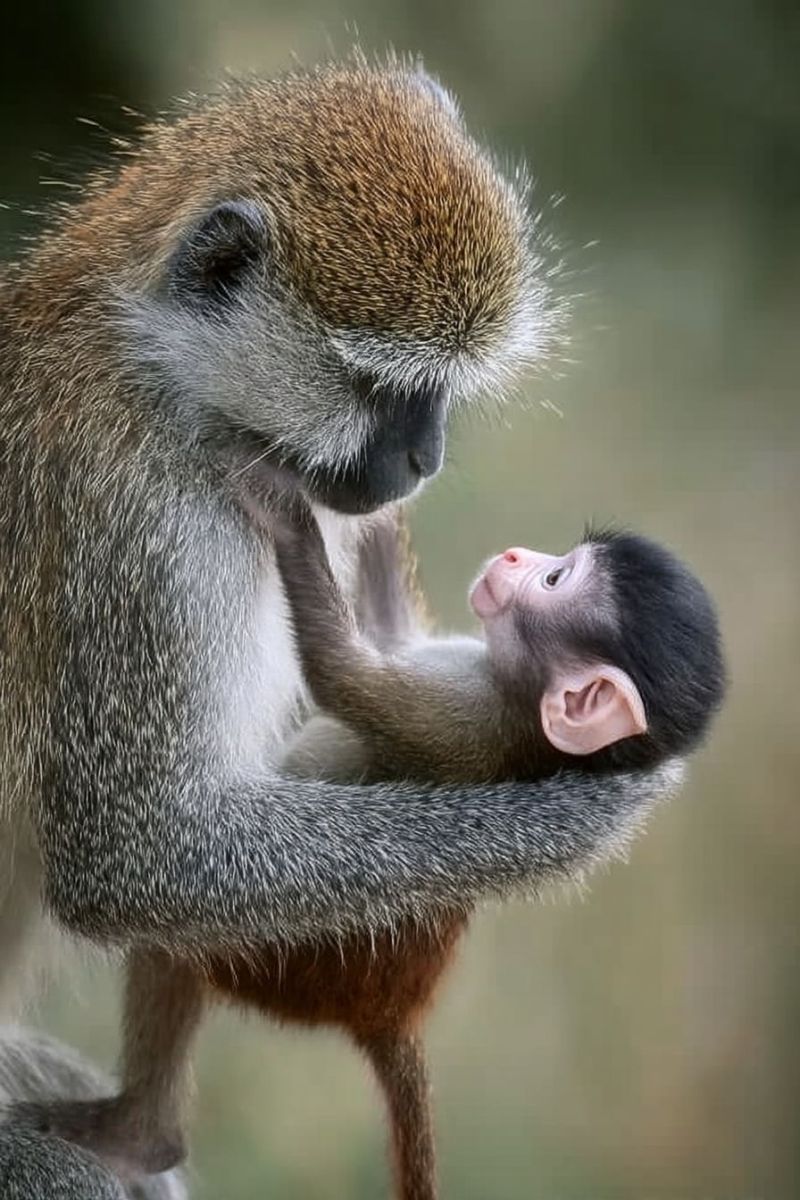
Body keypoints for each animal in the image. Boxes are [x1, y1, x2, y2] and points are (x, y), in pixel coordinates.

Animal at [0, 58, 682, 1197]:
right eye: (381, 388)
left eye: (442, 392)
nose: (424, 462)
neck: (168, 383)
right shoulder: (139, 531)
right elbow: (133, 857)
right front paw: (566, 820)